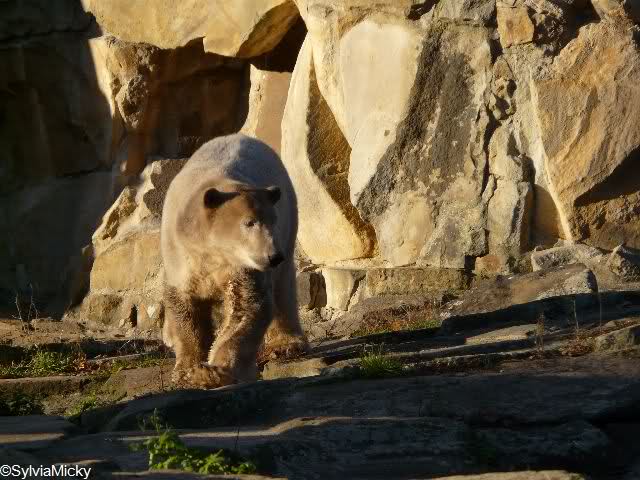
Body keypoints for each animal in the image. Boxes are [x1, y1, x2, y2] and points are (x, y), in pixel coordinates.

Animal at [160, 133, 308, 388]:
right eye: (249, 222)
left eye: (272, 220)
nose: (273, 256)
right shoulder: (180, 256)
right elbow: (184, 307)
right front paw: (187, 370)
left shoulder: (242, 266)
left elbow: (246, 307)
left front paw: (215, 370)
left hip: (290, 220)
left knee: (283, 287)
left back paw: (287, 345)